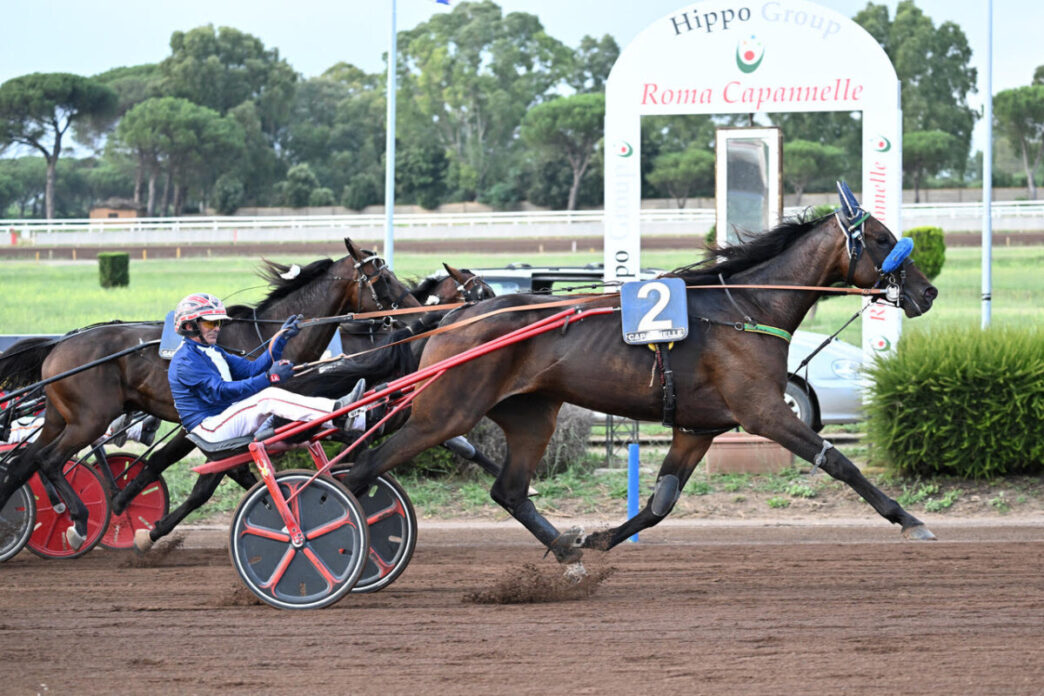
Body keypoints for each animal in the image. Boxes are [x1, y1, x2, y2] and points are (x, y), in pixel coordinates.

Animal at [0, 240, 419, 550]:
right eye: (383, 278)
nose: (418, 310)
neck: (259, 337)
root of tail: (60, 343)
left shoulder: (211, 432)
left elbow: (181, 467)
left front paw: (127, 504)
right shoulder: (217, 425)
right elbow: (211, 481)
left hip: (60, 417)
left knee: (26, 461)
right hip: (89, 419)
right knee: (49, 461)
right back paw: (78, 521)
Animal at [340, 184, 939, 571]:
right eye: (882, 238)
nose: (929, 291)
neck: (743, 308)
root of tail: (454, 318)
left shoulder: (697, 428)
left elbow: (659, 504)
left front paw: (598, 539)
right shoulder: (764, 412)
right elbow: (838, 462)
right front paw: (909, 519)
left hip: (531, 416)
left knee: (508, 490)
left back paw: (567, 551)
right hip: (446, 412)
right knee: (363, 468)